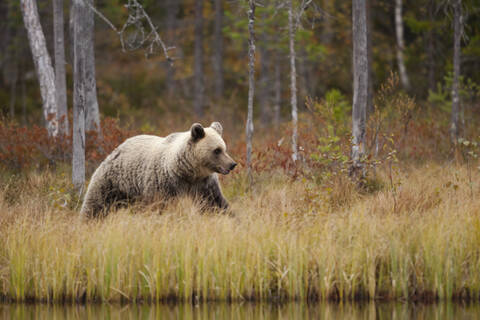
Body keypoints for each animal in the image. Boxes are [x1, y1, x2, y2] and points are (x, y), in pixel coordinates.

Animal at [81, 122, 237, 218]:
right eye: (217, 150)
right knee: (96, 205)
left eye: (224, 148)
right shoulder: (163, 185)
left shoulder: (204, 185)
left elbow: (216, 204)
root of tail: (116, 149)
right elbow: (159, 208)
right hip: (113, 181)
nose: (232, 164)